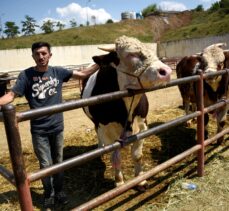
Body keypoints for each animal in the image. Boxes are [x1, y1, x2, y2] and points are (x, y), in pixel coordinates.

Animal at [81, 35, 172, 189]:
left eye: (153, 51)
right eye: (131, 54)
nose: (166, 71)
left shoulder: (142, 124)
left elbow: (137, 155)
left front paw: (140, 179)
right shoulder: (105, 129)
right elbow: (115, 157)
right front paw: (119, 181)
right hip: (96, 122)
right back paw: (100, 148)